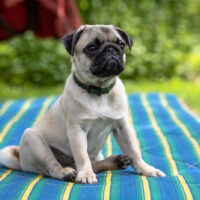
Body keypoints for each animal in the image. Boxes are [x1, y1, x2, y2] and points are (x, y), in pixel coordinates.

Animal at [0, 25, 166, 184]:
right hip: (32, 138)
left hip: (96, 154)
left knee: (94, 163)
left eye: (121, 44)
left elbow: (134, 151)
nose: (111, 49)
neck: (99, 91)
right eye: (91, 47)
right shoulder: (77, 130)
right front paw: (85, 175)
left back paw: (116, 161)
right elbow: (82, 156)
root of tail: (20, 159)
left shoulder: (123, 127)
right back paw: (66, 173)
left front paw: (146, 169)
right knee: (54, 166)